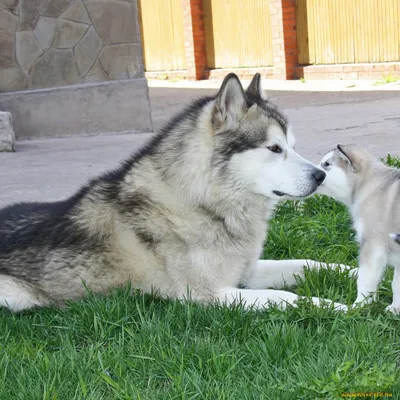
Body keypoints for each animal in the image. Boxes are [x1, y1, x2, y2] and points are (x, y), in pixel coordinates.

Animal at [0, 74, 348, 312]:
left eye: (292, 145)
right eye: (274, 148)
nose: (320, 175)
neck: (203, 202)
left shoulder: (245, 272)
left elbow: (311, 263)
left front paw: (354, 273)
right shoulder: (207, 294)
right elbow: (286, 297)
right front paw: (335, 307)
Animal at [318, 145, 400, 314]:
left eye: (327, 164)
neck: (368, 185)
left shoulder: (373, 246)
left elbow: (364, 280)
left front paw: (358, 306)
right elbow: (396, 283)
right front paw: (395, 309)